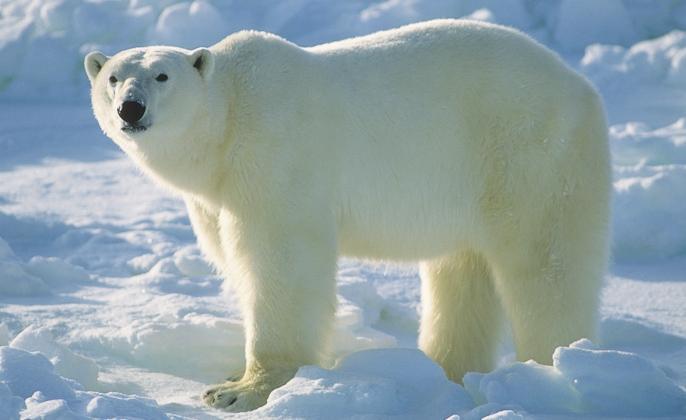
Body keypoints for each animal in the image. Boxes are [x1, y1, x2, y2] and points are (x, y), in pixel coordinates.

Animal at [84, 18, 612, 410]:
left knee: (545, 265)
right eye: (113, 77)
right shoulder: (216, 195)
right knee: (462, 272)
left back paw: (551, 369)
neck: (229, 119)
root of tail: (581, 86)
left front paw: (240, 390)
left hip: (528, 154)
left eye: (162, 76)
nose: (130, 109)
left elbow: (281, 262)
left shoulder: (275, 155)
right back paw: (442, 371)